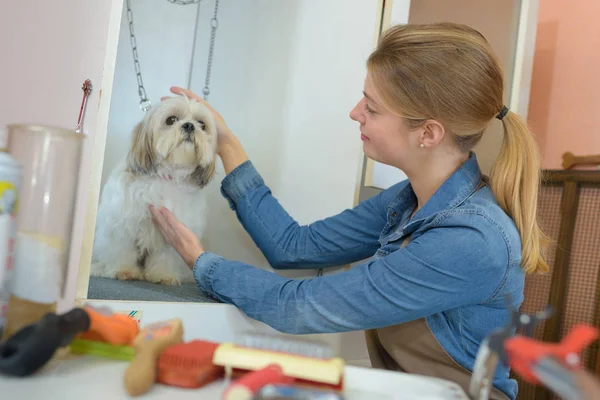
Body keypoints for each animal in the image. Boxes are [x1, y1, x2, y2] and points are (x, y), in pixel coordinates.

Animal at [90, 96, 217, 284]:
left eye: (202, 124)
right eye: (171, 120)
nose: (189, 125)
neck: (167, 177)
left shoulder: (172, 232)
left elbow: (165, 256)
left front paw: (162, 275)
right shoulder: (122, 223)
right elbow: (123, 249)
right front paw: (125, 270)